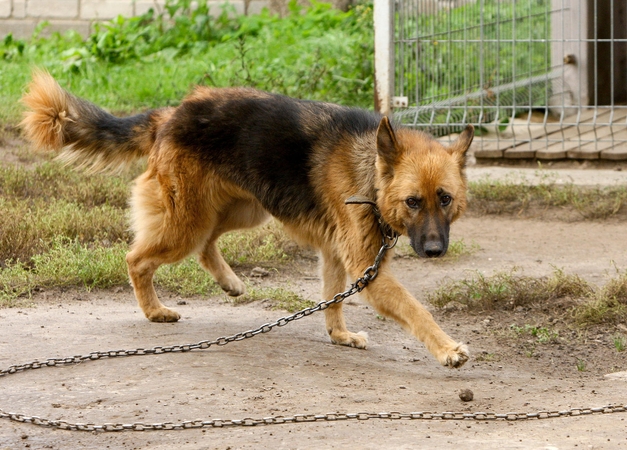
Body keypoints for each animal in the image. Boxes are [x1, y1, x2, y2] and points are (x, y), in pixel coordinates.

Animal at [19, 69, 474, 366]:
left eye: (445, 199)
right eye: (413, 202)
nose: (434, 251)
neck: (370, 174)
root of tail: (172, 114)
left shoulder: (339, 256)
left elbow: (333, 300)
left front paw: (340, 335)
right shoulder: (369, 270)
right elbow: (416, 310)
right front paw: (447, 348)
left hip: (240, 209)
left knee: (206, 245)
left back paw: (229, 281)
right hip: (189, 222)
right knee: (138, 259)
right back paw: (154, 311)